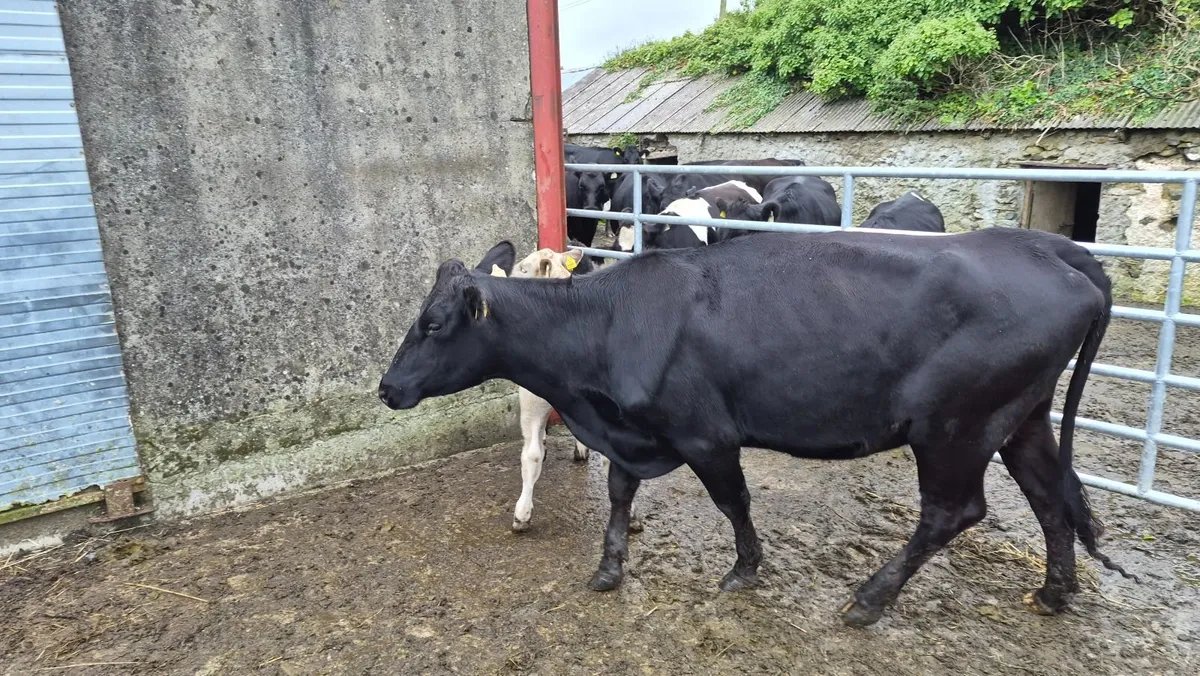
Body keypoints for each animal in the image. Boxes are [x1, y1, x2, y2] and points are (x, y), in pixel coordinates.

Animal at [378, 228, 1133, 627]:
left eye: (434, 324)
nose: (387, 388)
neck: (608, 323)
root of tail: (1044, 246)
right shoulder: (633, 429)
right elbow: (620, 493)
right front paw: (610, 566)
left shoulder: (705, 435)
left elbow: (732, 501)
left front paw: (744, 569)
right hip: (1021, 417)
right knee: (1051, 496)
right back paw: (1054, 592)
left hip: (955, 428)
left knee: (954, 512)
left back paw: (869, 599)